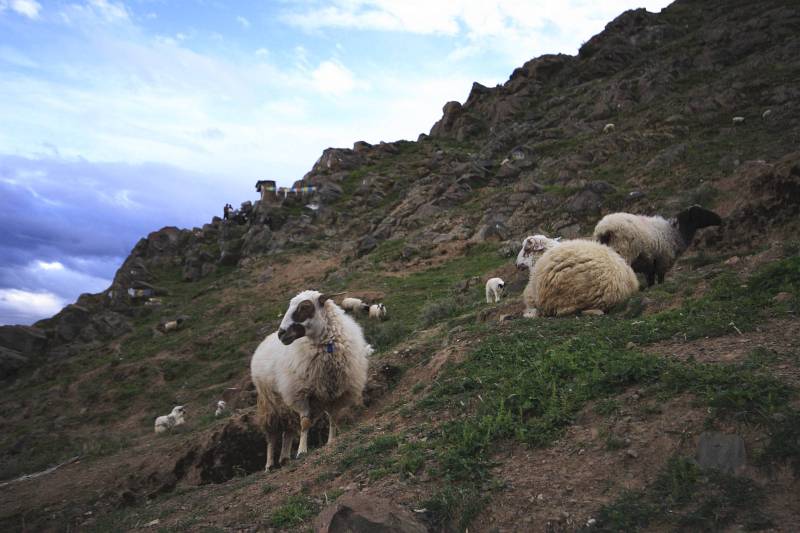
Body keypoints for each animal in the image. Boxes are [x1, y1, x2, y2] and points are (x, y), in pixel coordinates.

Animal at [248, 290, 370, 470]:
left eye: (304, 307)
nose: (281, 334)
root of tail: (264, 341)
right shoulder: (300, 394)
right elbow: (305, 424)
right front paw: (302, 451)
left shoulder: (334, 394)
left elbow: (333, 419)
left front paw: (330, 441)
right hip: (270, 402)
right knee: (272, 434)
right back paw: (269, 464)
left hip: (285, 402)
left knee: (288, 430)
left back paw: (284, 458)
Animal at [592, 204, 720, 286]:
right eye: (700, 213)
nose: (719, 219)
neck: (674, 232)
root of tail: (604, 229)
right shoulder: (662, 261)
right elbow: (660, 279)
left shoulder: (650, 265)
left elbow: (651, 282)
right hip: (622, 252)